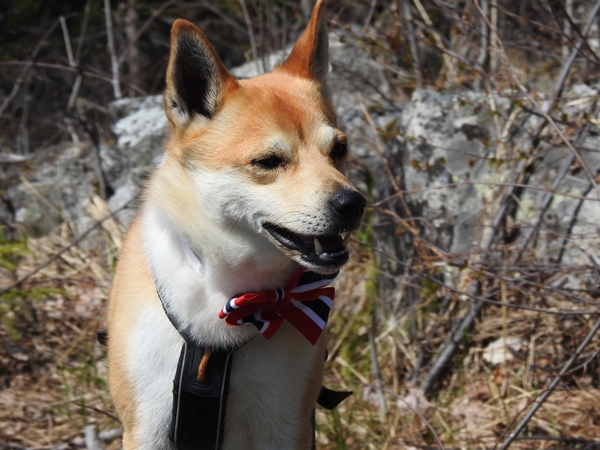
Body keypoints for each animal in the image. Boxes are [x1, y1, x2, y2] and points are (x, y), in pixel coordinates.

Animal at [105, 1, 364, 448]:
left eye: (339, 149)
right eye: (268, 161)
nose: (353, 204)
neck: (233, 294)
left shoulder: (285, 425)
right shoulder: (146, 427)